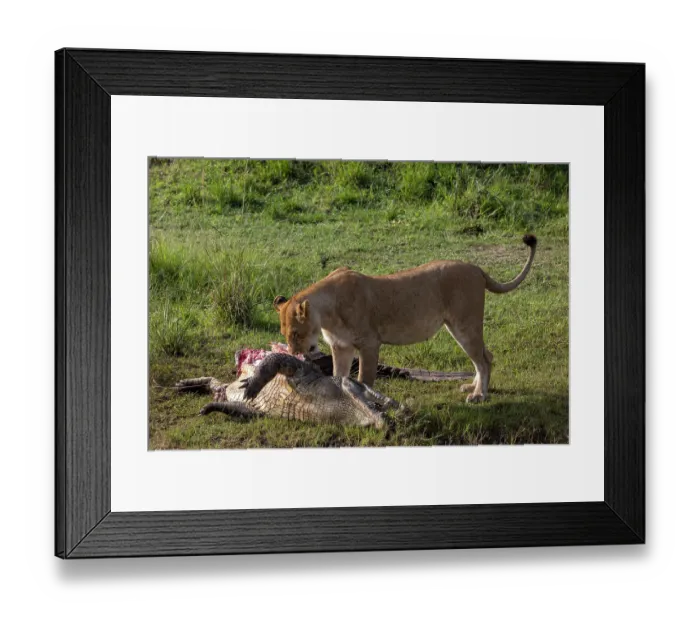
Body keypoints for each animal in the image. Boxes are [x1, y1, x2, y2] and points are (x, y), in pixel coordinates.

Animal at [273, 235, 537, 403]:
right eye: (284, 334)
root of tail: (477, 269)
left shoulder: (369, 344)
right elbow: (339, 376)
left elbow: (364, 379)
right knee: (486, 356)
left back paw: (480, 395)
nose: (293, 353)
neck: (327, 313)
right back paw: (474, 387)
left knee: (483, 359)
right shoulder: (341, 347)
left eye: (296, 333)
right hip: (460, 327)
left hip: (465, 325)